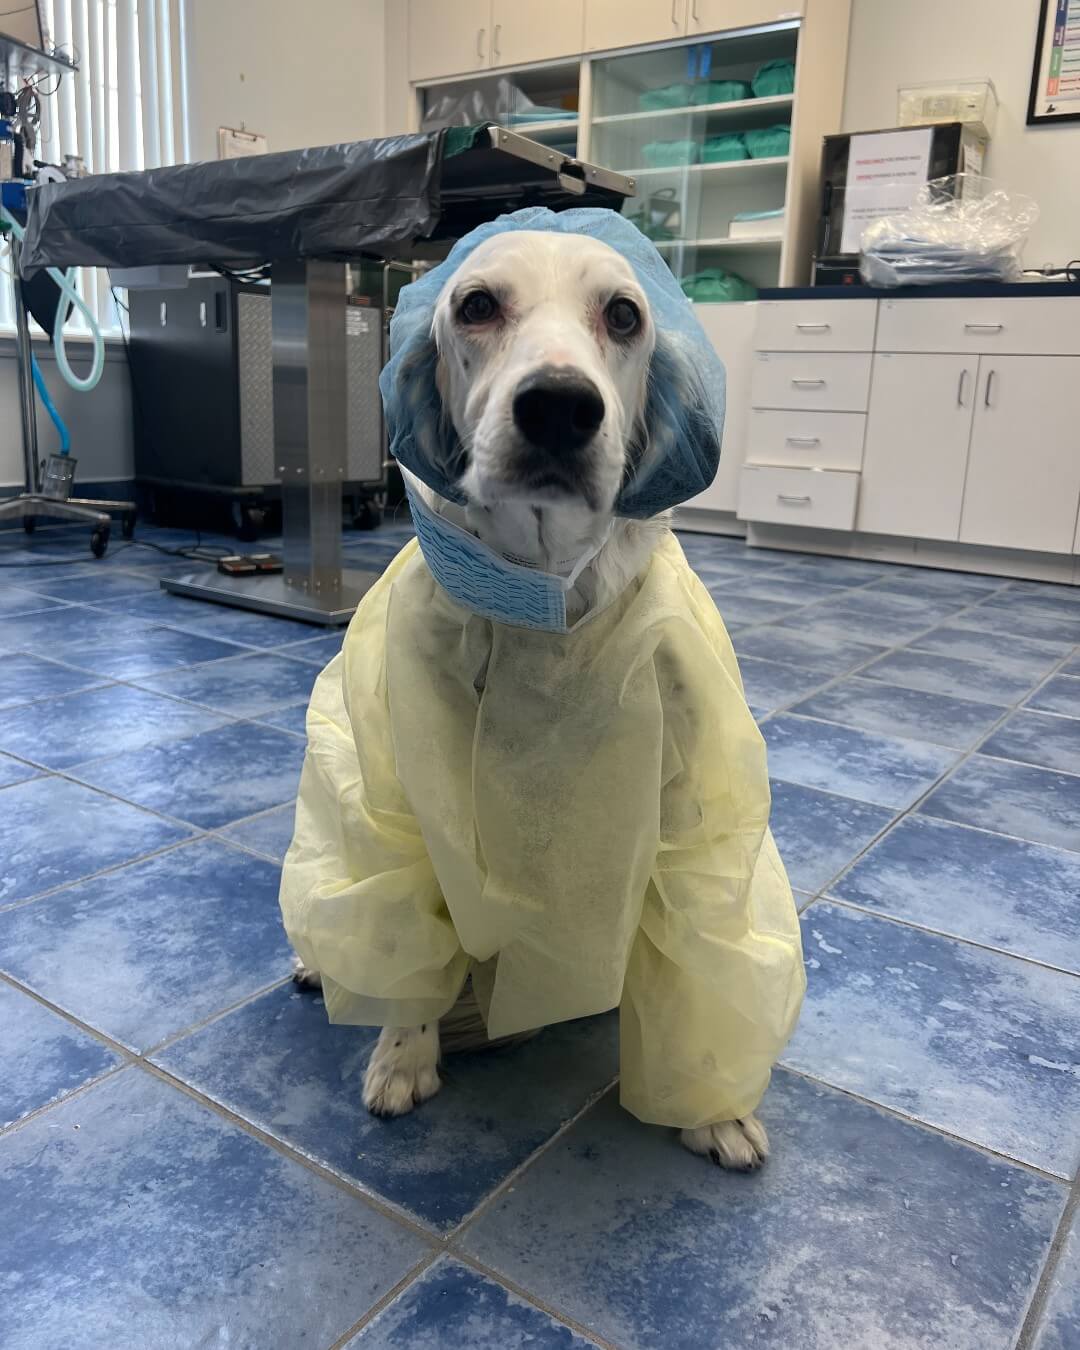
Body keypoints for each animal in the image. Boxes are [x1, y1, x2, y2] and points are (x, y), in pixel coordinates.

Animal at [291, 221, 799, 1171]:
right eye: (477, 304)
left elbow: (703, 955)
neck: (540, 602)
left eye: (625, 314)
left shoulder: (691, 816)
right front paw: (403, 1054)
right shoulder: (407, 802)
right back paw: (319, 963)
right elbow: (407, 939)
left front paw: (712, 1105)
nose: (560, 406)